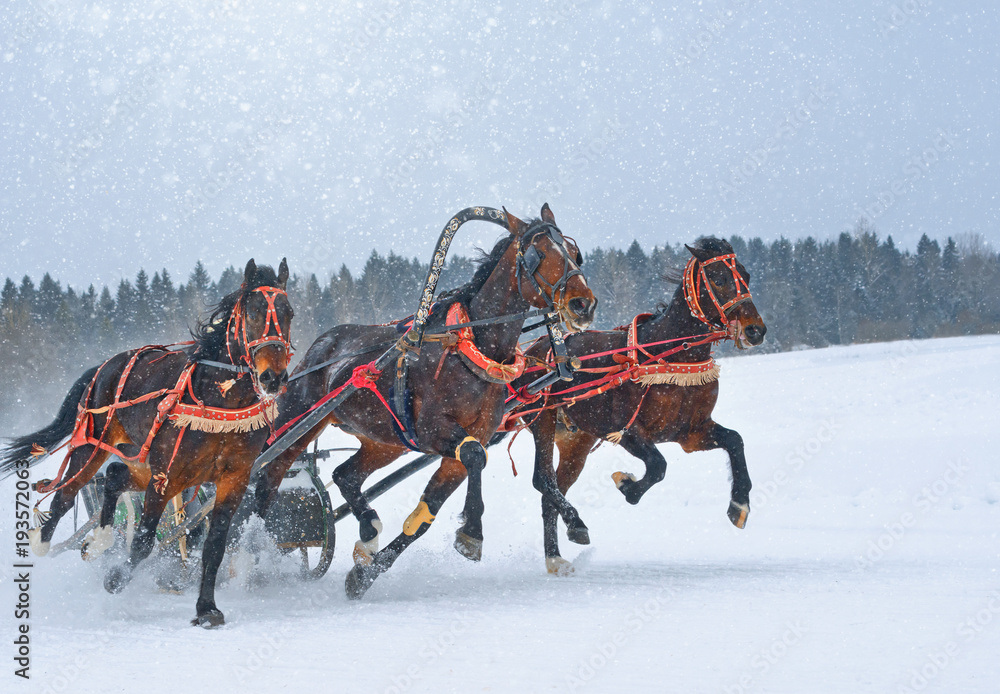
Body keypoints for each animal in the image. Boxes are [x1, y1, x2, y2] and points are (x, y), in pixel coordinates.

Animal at [1, 258, 292, 628]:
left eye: (289, 312)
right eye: (253, 312)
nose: (273, 377)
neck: (219, 401)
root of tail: (105, 366)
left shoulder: (233, 478)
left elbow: (214, 545)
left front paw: (206, 608)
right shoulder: (166, 475)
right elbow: (142, 541)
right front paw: (115, 579)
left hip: (140, 459)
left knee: (112, 477)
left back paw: (100, 539)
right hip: (93, 447)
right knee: (68, 492)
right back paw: (43, 540)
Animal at [249, 205, 592, 600]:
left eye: (573, 251)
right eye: (540, 253)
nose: (583, 303)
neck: (471, 348)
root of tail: (318, 348)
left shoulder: (462, 444)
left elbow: (425, 515)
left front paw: (364, 575)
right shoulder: (434, 432)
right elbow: (476, 456)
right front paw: (472, 533)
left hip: (386, 441)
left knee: (344, 475)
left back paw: (368, 529)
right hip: (298, 423)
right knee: (267, 479)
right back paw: (254, 550)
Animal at [516, 239, 764, 576]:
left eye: (746, 275)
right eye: (718, 277)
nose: (755, 330)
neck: (669, 354)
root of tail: (535, 348)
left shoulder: (692, 433)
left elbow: (735, 440)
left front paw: (739, 504)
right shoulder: (627, 431)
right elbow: (658, 466)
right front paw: (627, 484)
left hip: (577, 440)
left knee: (552, 492)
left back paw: (557, 553)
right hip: (542, 418)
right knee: (542, 480)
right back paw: (569, 532)